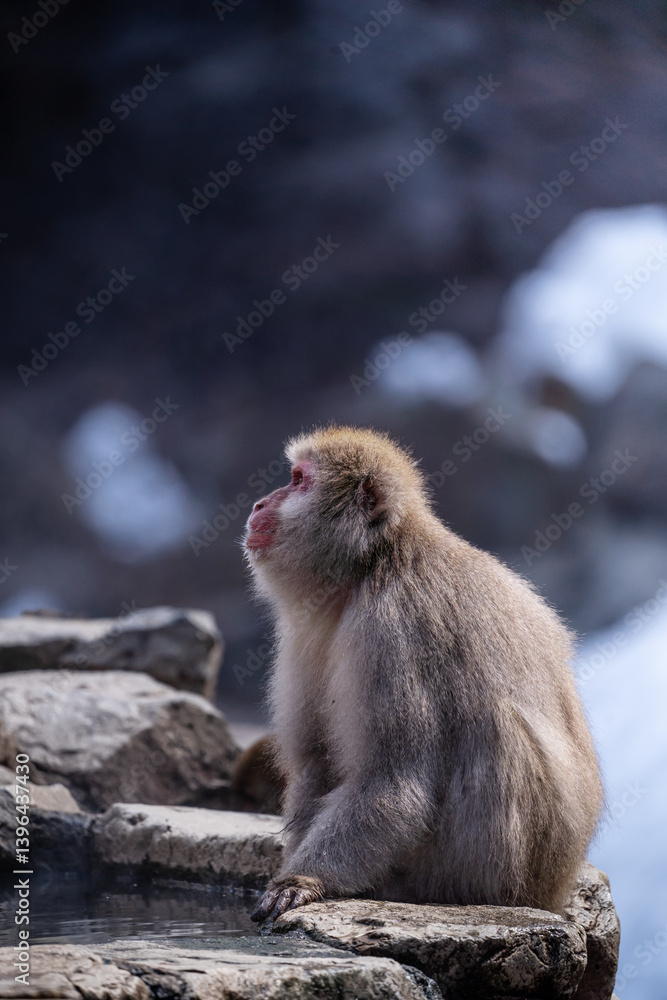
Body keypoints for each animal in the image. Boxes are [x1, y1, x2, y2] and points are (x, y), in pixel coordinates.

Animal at [243, 425, 603, 925]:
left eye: (298, 480)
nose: (259, 503)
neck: (372, 562)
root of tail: (554, 891)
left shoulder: (391, 631)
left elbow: (395, 782)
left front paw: (302, 880)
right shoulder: (303, 630)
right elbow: (316, 760)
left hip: (499, 868)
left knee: (499, 732)